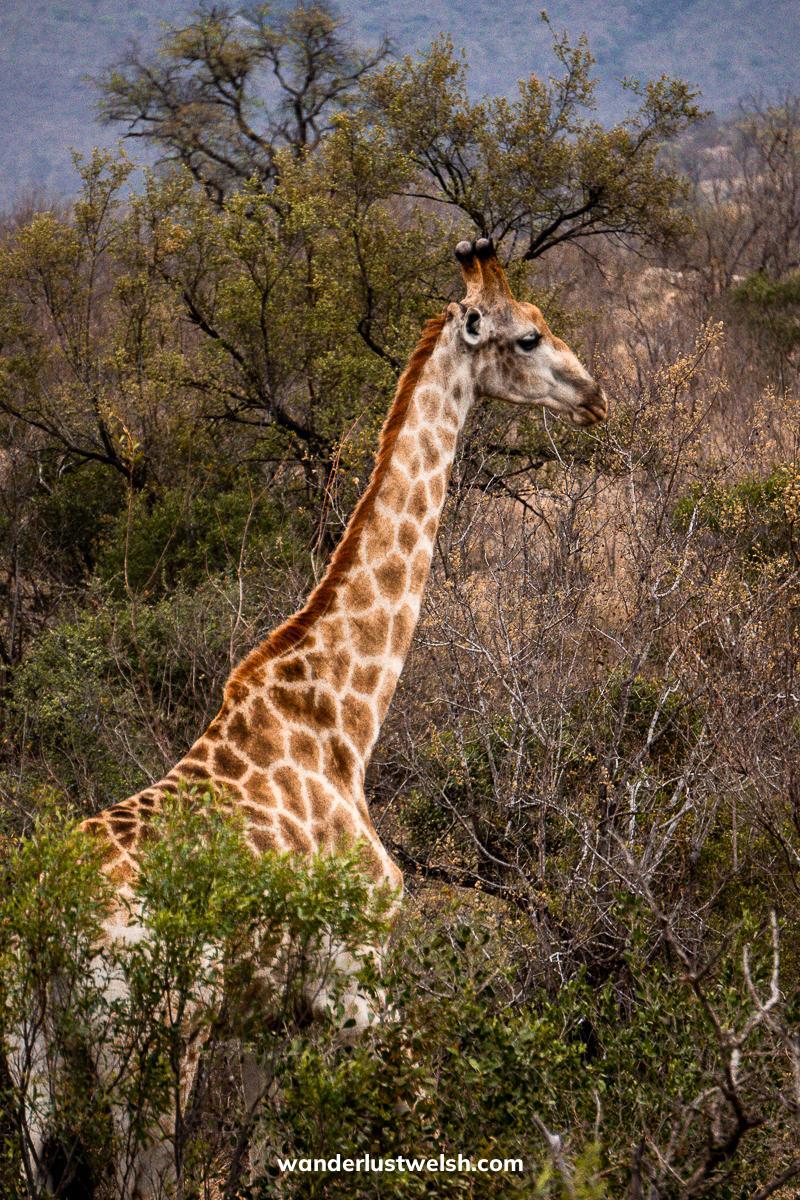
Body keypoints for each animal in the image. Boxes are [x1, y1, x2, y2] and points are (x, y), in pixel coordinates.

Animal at [18, 238, 607, 1197]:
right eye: (527, 335)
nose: (596, 397)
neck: (346, 717)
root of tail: (44, 920)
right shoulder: (356, 983)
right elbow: (413, 1126)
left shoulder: (272, 1013)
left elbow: (264, 1157)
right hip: (149, 1042)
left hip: (30, 1053)